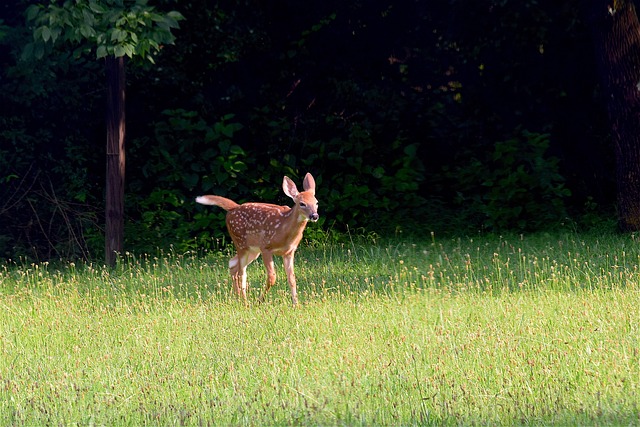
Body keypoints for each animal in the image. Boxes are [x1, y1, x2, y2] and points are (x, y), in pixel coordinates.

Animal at [192, 172, 318, 306]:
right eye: (302, 203)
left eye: (316, 202)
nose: (314, 216)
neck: (285, 230)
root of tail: (233, 208)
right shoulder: (266, 247)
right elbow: (272, 277)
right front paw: (259, 300)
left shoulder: (289, 252)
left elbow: (292, 278)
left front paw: (296, 305)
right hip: (240, 243)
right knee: (242, 273)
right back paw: (245, 302)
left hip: (252, 250)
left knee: (232, 264)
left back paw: (238, 298)